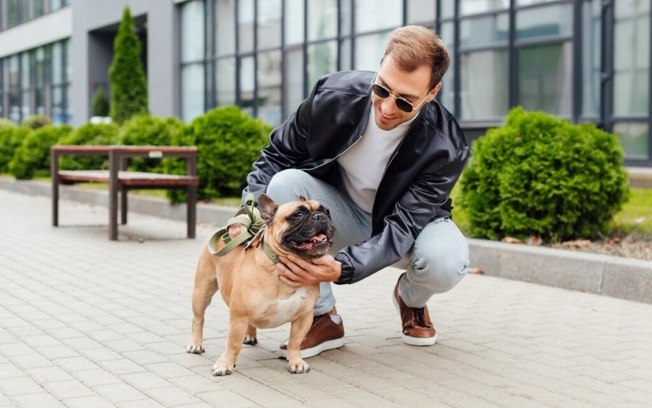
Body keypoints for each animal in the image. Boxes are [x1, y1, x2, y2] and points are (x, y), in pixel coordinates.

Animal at [186, 194, 334, 376]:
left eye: (327, 211)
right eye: (298, 214)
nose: (321, 216)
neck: (280, 267)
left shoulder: (304, 317)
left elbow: (295, 342)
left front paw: (296, 362)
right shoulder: (239, 316)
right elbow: (233, 343)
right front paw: (224, 364)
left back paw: (250, 335)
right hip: (203, 289)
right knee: (198, 318)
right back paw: (196, 344)